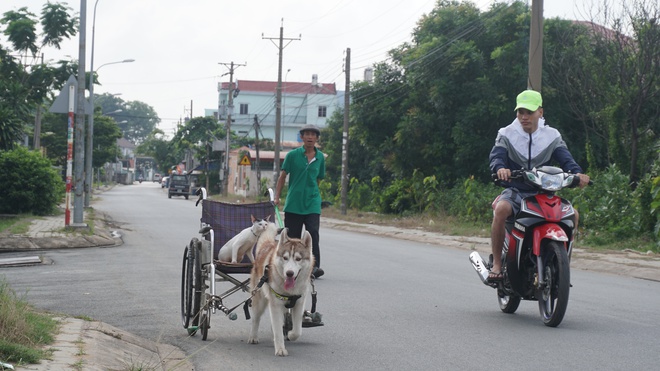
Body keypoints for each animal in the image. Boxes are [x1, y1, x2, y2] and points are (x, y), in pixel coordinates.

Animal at [250, 228, 318, 356]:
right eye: (285, 258)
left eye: (298, 259)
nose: (289, 273)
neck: (290, 291)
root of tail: (269, 244)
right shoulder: (275, 305)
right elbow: (278, 331)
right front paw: (280, 349)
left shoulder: (299, 304)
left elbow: (297, 330)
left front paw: (291, 335)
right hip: (259, 301)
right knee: (256, 318)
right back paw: (253, 337)